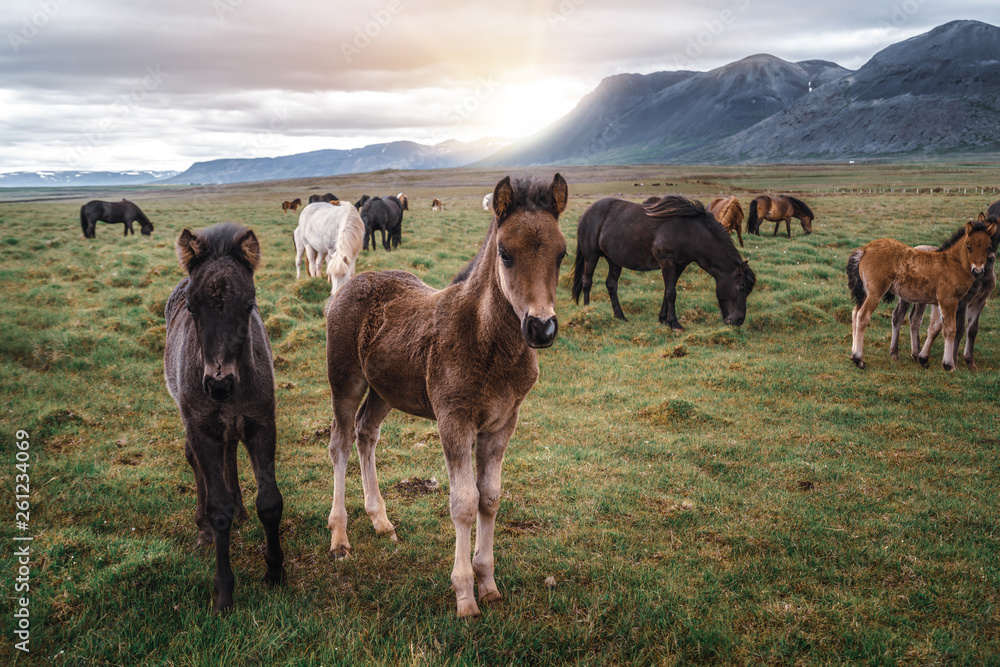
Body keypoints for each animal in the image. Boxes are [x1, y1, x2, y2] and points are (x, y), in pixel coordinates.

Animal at [162, 222, 284, 612]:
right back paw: (202, 529)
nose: (219, 385)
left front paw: (275, 572)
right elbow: (218, 510)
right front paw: (224, 594)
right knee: (195, 462)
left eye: (249, 306)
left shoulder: (261, 423)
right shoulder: (203, 430)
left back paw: (241, 509)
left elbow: (270, 503)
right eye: (192, 307)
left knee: (230, 453)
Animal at [322, 175, 568, 620]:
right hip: (345, 381)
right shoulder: (455, 420)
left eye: (562, 254)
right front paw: (465, 594)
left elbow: (490, 498)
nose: (541, 328)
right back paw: (339, 537)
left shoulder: (502, 422)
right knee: (340, 443)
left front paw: (488, 582)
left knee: (366, 435)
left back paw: (380, 519)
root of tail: (349, 284)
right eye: (505, 253)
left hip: (385, 389)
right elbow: (464, 503)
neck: (487, 341)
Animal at [572, 194, 756, 330]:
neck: (689, 232)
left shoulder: (679, 265)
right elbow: (671, 293)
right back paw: (587, 312)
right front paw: (674, 323)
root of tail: (586, 213)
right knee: (587, 282)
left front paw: (663, 319)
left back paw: (620, 316)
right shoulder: (667, 263)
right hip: (591, 256)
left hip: (614, 260)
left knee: (611, 284)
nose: (738, 320)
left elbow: (668, 291)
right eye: (741, 288)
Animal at [844, 222, 1000, 374]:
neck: (953, 263)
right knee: (863, 316)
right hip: (875, 292)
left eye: (988, 247)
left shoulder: (938, 303)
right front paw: (949, 365)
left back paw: (853, 354)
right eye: (968, 246)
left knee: (855, 313)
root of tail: (865, 249)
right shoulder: (949, 300)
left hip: (865, 292)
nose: (978, 271)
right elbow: (950, 329)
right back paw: (859, 359)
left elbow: (935, 326)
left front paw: (924, 359)